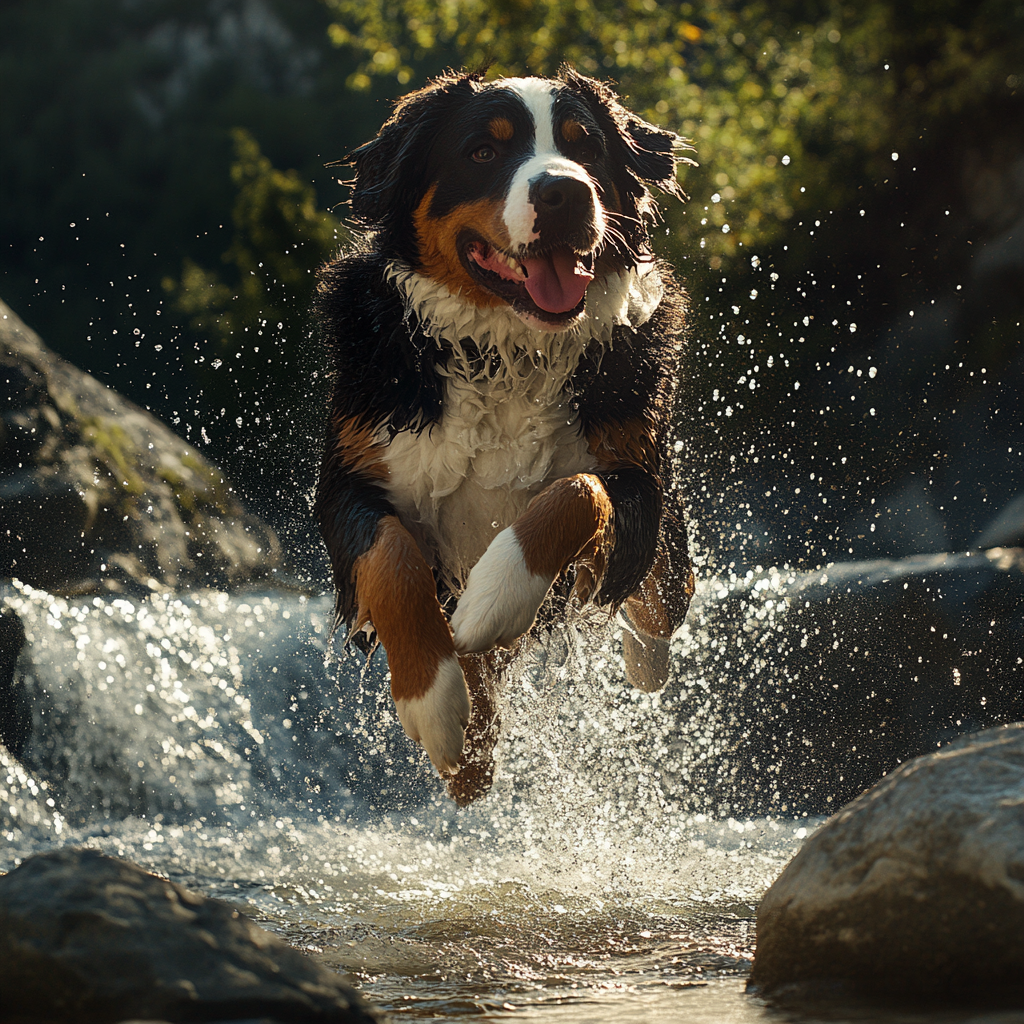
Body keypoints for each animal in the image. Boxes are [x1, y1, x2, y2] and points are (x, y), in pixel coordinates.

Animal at [313, 68, 696, 802]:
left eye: (585, 146)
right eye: (483, 152)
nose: (565, 191)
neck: (505, 348)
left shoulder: (635, 475)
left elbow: (576, 494)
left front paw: (495, 596)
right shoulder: (352, 480)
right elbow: (392, 560)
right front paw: (434, 707)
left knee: (660, 604)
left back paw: (640, 655)